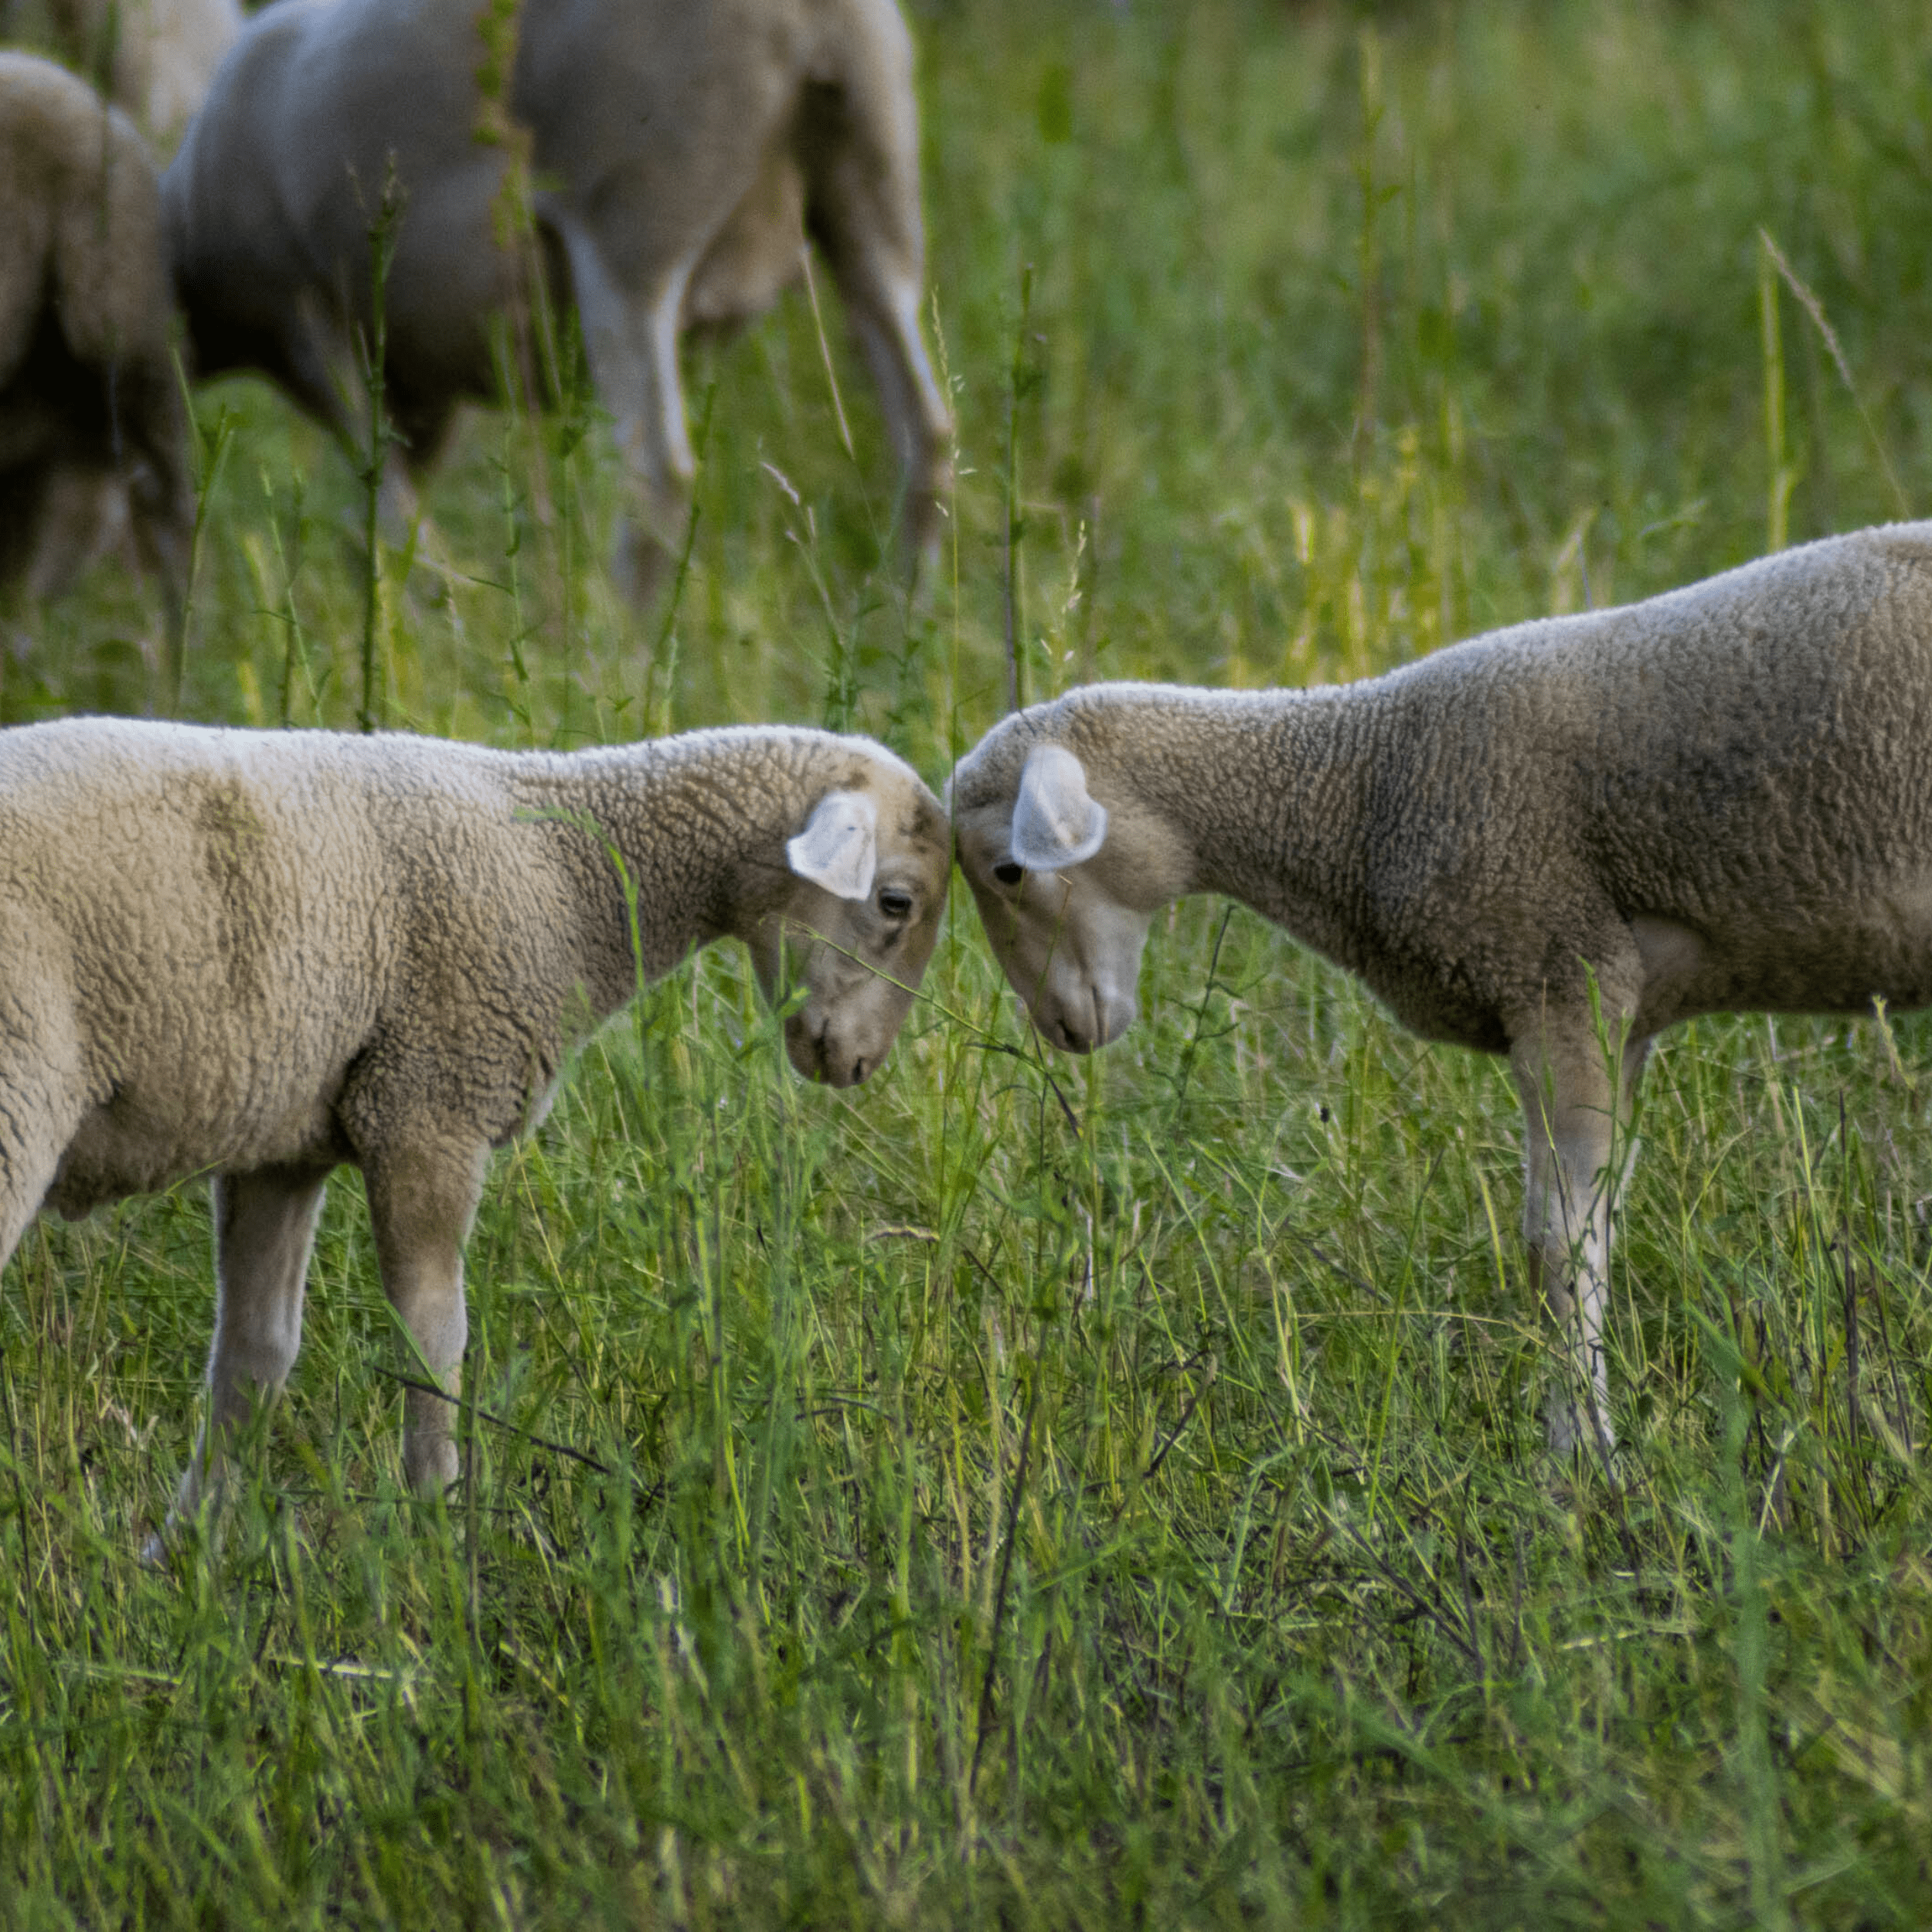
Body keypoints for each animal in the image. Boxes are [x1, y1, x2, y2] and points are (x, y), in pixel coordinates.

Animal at [0, 711, 951, 1538]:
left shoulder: (282, 1137)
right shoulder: (427, 1103)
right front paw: (439, 1522)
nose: (857, 1065)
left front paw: (188, 1554)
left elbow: (254, 1357)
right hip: (18, 1087)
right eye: (895, 902)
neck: (567, 874)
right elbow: (434, 1341)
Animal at [164, 0, 951, 595]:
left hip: (632, 228)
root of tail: (812, 16)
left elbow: (386, 511)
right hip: (872, 181)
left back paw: (618, 663)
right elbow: (383, 523)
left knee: (654, 477)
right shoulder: (424, 390)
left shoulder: (314, 324)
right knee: (927, 435)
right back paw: (901, 634)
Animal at [951, 522, 1932, 1453]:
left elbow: (1556, 1245)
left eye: (1007, 869)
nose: (1062, 1029)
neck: (1353, 790)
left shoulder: (1557, 969)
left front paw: (1581, 1454)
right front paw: (1575, 1431)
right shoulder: (1617, 1004)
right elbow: (1588, 1225)